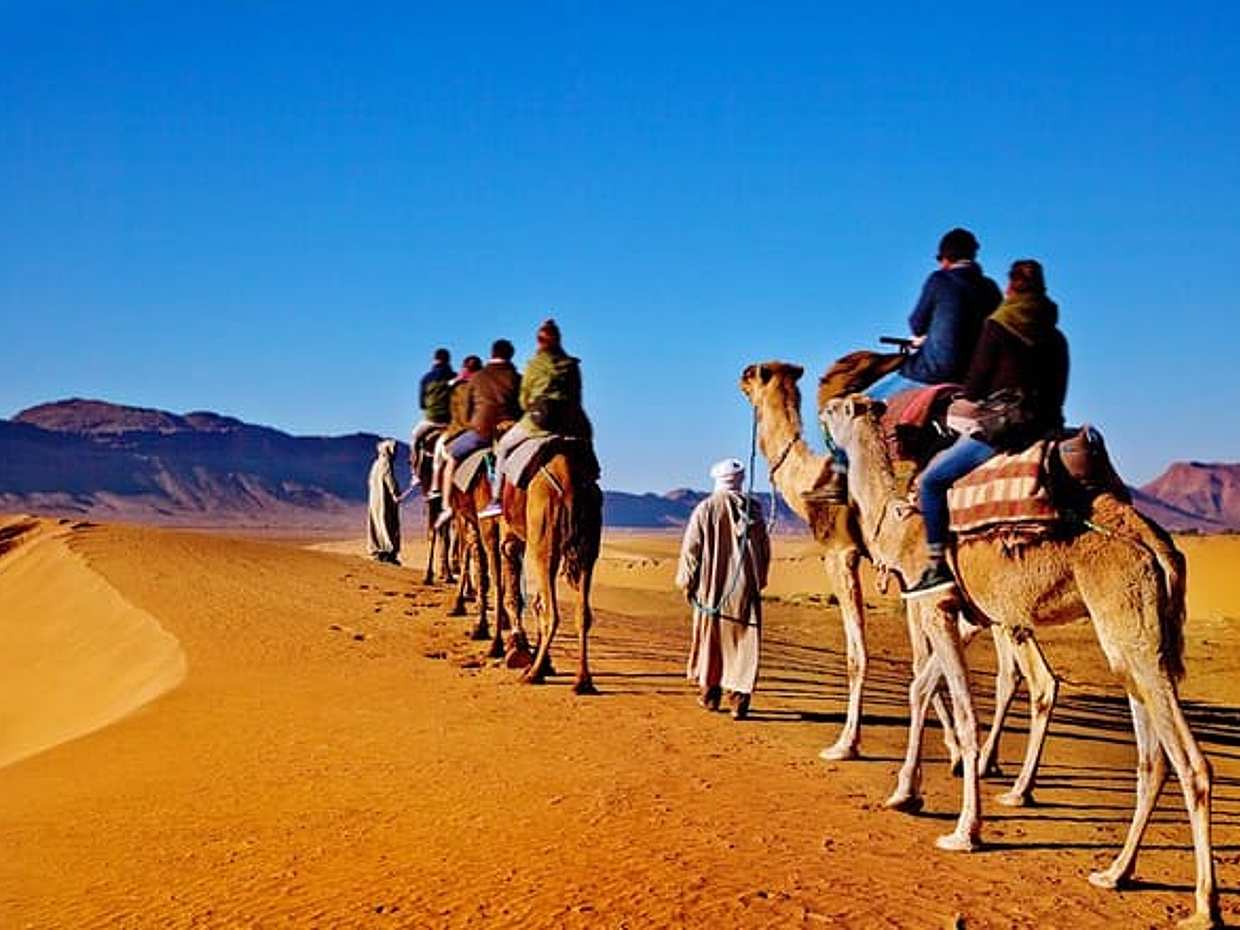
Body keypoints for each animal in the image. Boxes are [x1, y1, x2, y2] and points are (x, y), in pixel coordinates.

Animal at [498, 445, 603, 694]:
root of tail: (569, 479)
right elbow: (536, 600)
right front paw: (542, 661)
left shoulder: (509, 535)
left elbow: (514, 596)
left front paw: (518, 650)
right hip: (587, 546)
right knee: (582, 613)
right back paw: (583, 681)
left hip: (544, 539)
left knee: (552, 613)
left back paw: (533, 674)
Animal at [821, 391, 1217, 930]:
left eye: (841, 408)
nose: (823, 409)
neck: (897, 518)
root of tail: (1156, 545)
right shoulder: (967, 612)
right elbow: (920, 687)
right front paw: (905, 793)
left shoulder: (935, 603)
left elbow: (962, 710)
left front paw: (964, 832)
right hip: (1128, 640)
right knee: (1151, 757)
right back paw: (1115, 872)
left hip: (1130, 624)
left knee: (1190, 763)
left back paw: (1202, 907)